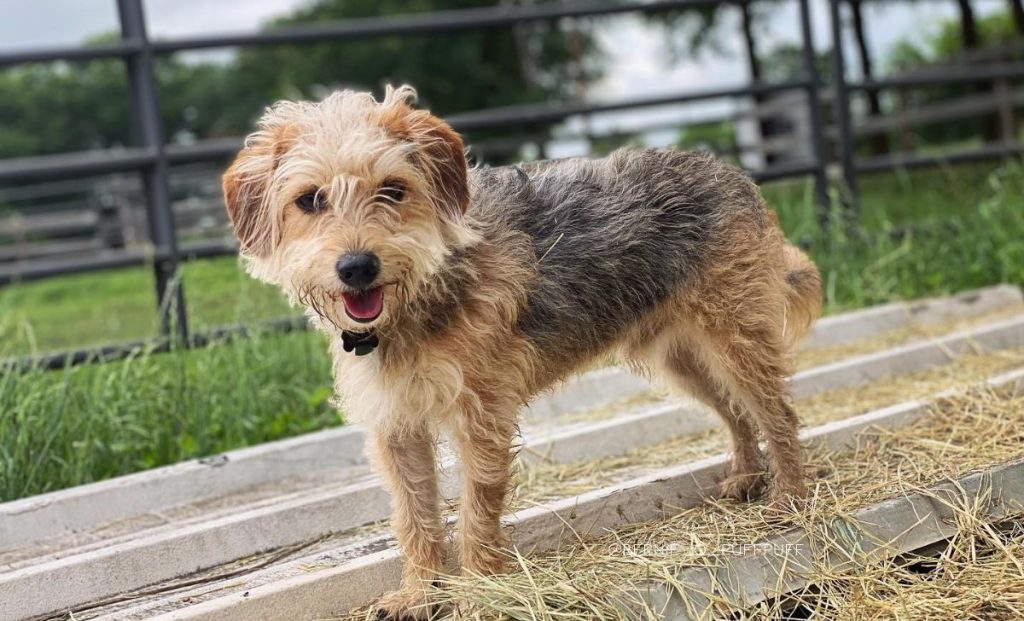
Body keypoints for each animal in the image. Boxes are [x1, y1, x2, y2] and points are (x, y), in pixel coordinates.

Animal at [224, 85, 823, 618]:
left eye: (392, 190)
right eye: (310, 199)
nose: (356, 267)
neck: (423, 294)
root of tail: (731, 172)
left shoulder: (480, 413)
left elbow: (475, 509)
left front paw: (475, 592)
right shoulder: (397, 425)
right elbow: (413, 518)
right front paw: (419, 594)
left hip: (735, 341)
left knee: (778, 414)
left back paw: (788, 499)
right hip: (683, 361)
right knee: (736, 412)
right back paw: (748, 476)